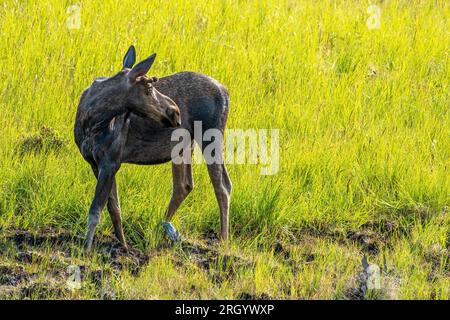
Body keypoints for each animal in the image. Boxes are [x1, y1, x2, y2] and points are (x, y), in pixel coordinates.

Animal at [74, 46, 232, 252]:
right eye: (149, 88)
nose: (175, 111)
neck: (91, 120)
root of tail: (226, 93)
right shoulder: (95, 162)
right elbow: (114, 207)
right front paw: (123, 245)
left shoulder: (111, 160)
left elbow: (96, 210)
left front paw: (86, 249)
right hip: (183, 146)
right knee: (185, 185)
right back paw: (162, 230)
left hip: (210, 136)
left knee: (221, 186)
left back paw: (223, 241)